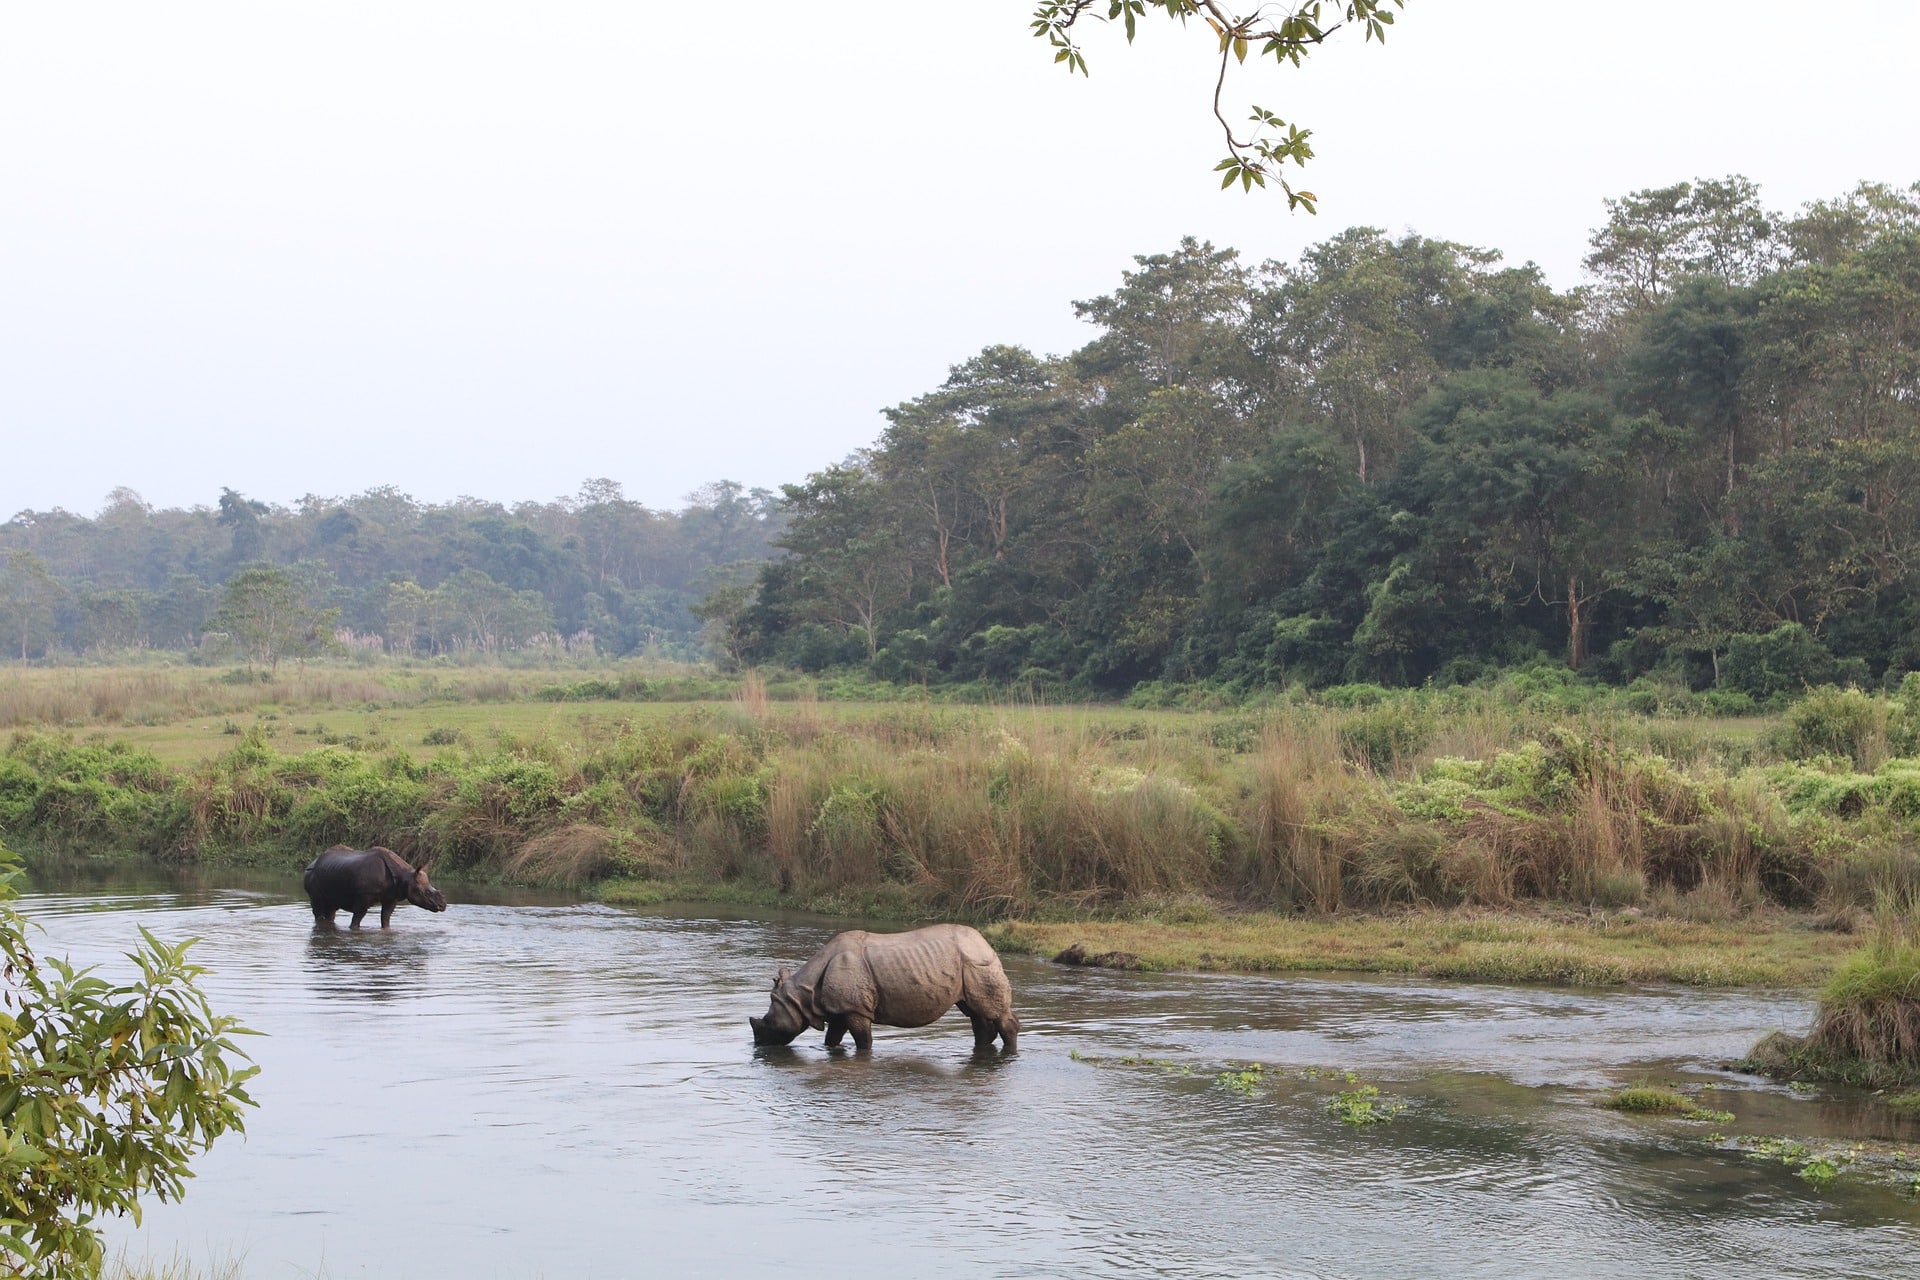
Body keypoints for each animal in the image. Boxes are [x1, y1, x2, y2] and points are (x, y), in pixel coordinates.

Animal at [301, 844, 447, 924]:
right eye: (425, 893)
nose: (443, 905)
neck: (405, 876)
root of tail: (311, 863)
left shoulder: (392, 896)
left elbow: (386, 917)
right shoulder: (364, 896)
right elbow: (357, 918)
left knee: (331, 909)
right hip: (311, 875)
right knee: (318, 908)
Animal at [748, 924, 1021, 1059]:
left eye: (767, 1021)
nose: (758, 1044)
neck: (802, 993)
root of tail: (985, 942)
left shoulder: (856, 1009)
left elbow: (863, 1041)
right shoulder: (841, 1008)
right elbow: (832, 1039)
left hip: (977, 962)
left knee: (990, 1011)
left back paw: (1010, 1055)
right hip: (968, 964)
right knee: (976, 1013)